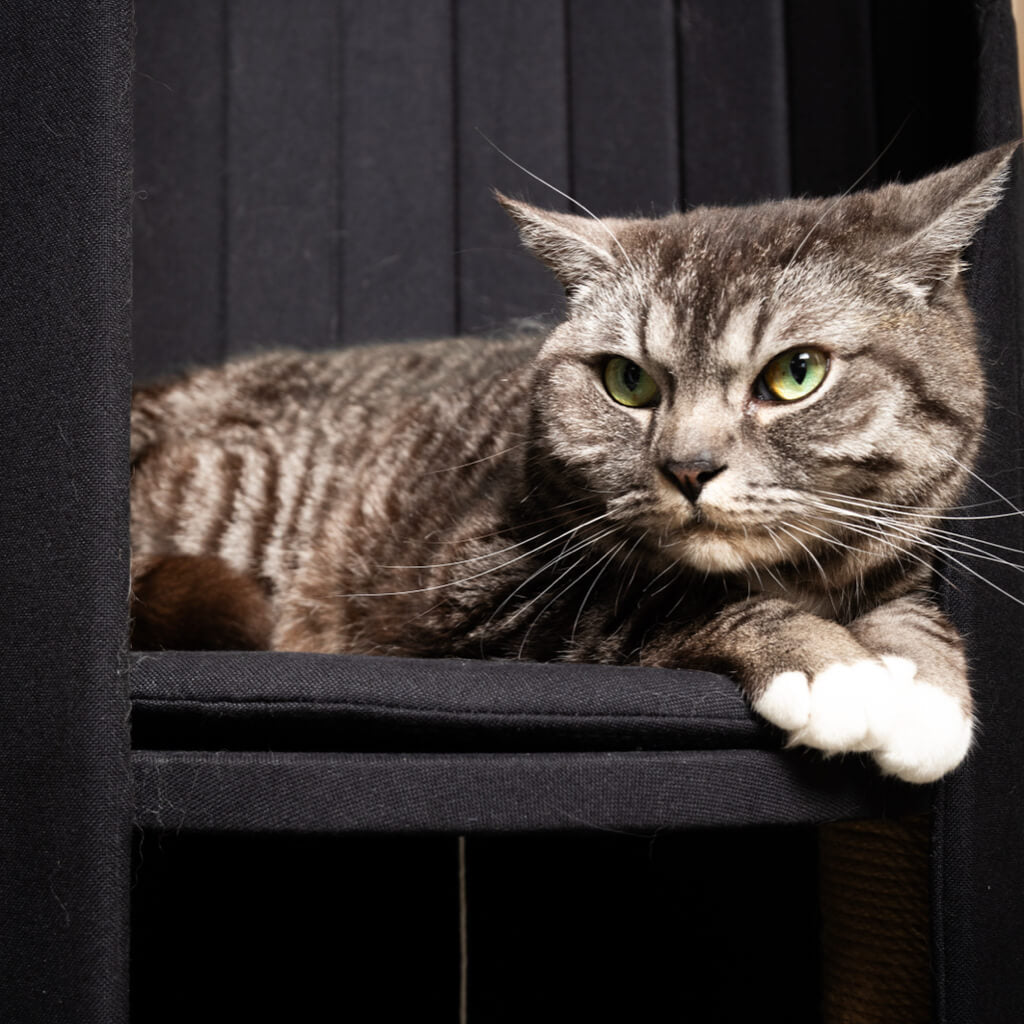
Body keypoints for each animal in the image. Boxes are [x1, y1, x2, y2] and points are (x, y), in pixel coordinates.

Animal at [130, 146, 1015, 782]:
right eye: (629, 381)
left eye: (796, 374)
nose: (689, 467)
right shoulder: (474, 585)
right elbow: (668, 599)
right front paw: (828, 666)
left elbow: (912, 609)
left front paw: (925, 692)